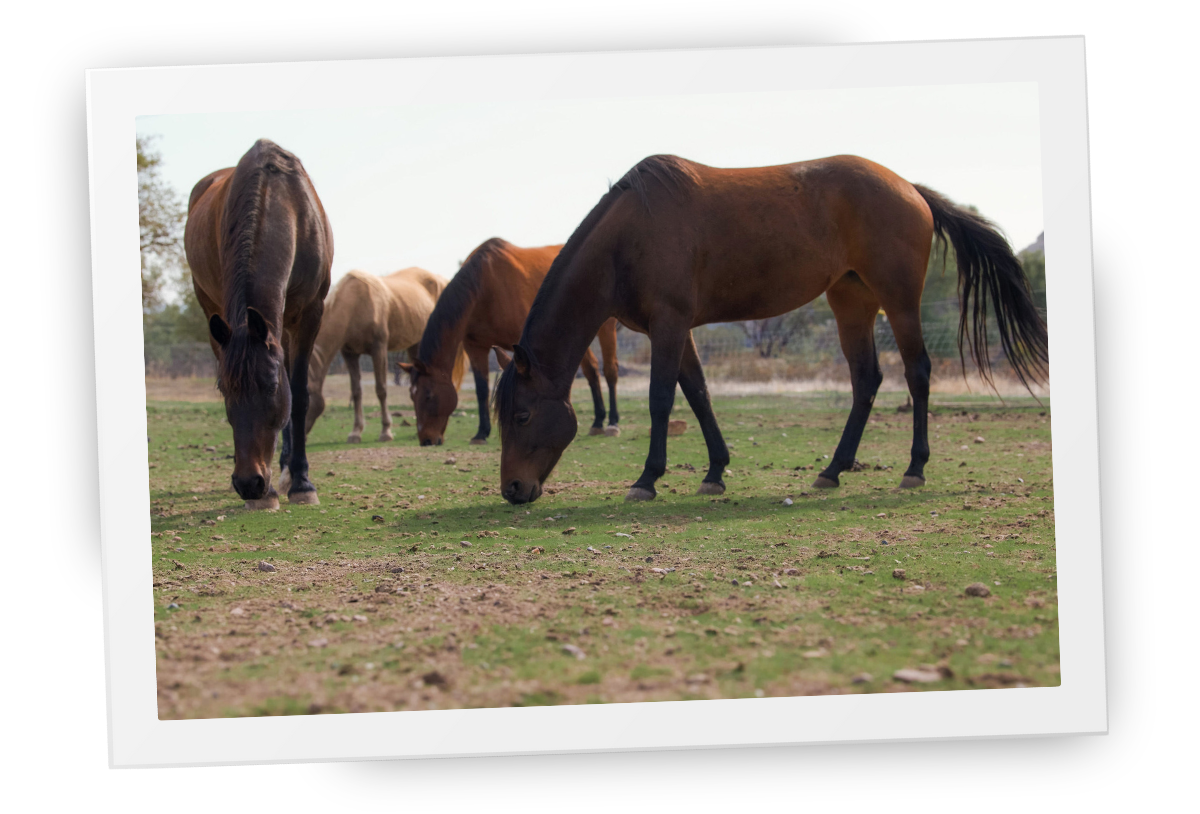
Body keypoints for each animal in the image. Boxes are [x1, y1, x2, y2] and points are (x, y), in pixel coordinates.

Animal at [184, 139, 333, 510]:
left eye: (269, 385)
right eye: (224, 389)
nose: (249, 484)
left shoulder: (310, 315)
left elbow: (299, 396)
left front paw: (302, 482)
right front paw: (271, 492)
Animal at [299, 267, 467, 453]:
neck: (355, 303)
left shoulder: (378, 348)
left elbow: (381, 389)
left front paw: (386, 432)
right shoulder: (349, 353)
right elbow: (356, 391)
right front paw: (355, 433)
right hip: (415, 345)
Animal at [399, 238, 620, 446]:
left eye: (428, 395)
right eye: (411, 396)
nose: (426, 440)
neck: (486, 286)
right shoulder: (476, 348)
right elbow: (482, 390)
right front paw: (481, 433)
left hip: (605, 329)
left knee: (609, 371)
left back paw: (612, 422)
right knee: (592, 369)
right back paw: (598, 422)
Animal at [492, 154, 1048, 505]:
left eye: (521, 416)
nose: (512, 490)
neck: (629, 236)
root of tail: (910, 188)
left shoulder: (669, 325)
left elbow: (661, 399)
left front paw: (647, 479)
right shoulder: (677, 328)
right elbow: (698, 394)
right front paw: (715, 472)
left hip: (899, 302)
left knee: (917, 373)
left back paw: (914, 469)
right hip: (852, 302)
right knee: (866, 379)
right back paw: (832, 469)